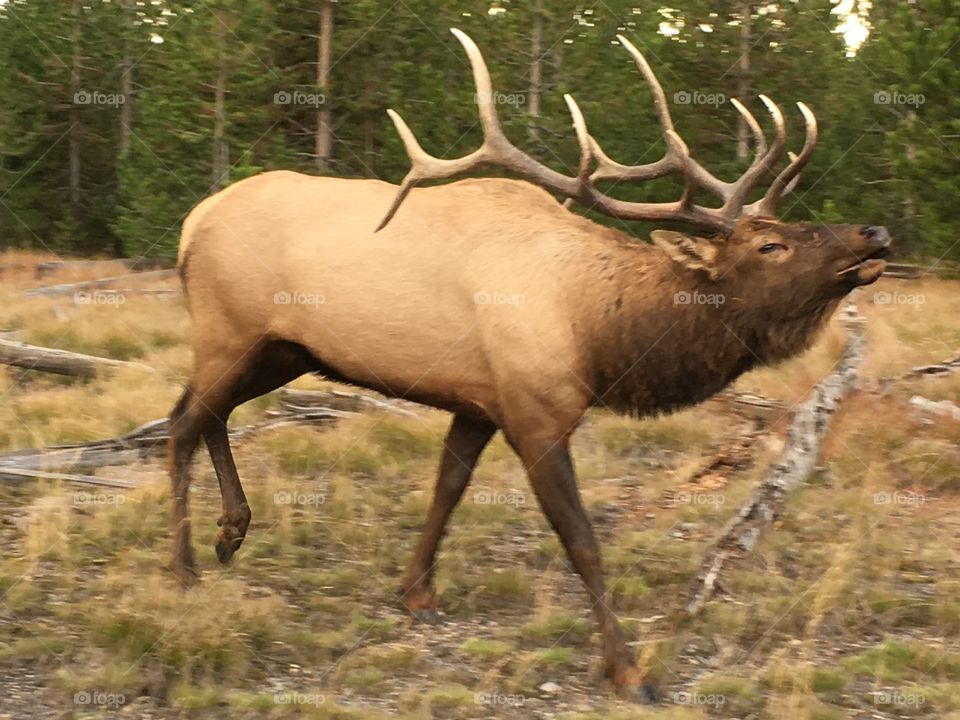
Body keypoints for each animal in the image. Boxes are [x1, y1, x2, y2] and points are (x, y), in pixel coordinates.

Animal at [168, 29, 891, 701]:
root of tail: (192, 222)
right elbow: (582, 540)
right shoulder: (537, 413)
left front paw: (416, 593)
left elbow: (447, 491)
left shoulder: (478, 402)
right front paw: (629, 671)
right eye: (771, 246)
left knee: (205, 414)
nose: (874, 233)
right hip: (230, 332)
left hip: (281, 350)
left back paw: (231, 531)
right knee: (181, 424)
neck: (597, 330)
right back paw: (184, 568)